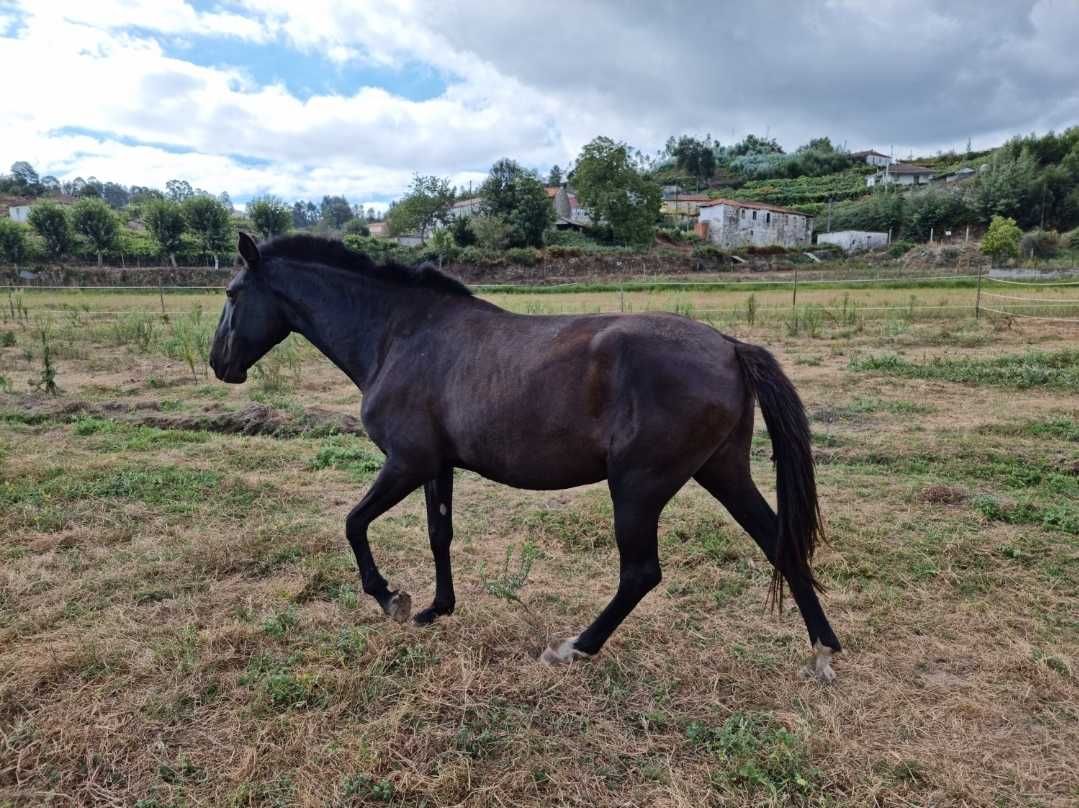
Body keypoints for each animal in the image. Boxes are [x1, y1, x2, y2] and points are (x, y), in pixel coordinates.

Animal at [210, 235, 841, 681]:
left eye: (232, 294)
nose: (220, 364)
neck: (399, 335)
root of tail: (730, 347)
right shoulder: (436, 467)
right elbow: (439, 535)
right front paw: (437, 608)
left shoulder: (406, 462)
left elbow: (353, 522)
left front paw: (391, 598)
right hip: (722, 471)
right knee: (778, 542)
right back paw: (823, 650)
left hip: (638, 487)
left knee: (641, 573)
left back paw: (574, 648)